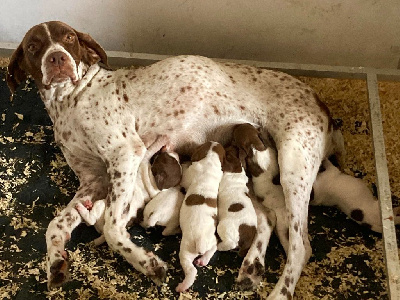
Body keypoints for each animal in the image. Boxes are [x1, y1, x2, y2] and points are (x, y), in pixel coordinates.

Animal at [6, 20, 344, 298]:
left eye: (69, 38)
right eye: (34, 46)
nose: (57, 58)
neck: (69, 102)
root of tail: (319, 101)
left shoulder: (125, 154)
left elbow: (114, 228)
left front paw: (146, 263)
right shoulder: (93, 181)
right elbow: (54, 226)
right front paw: (54, 263)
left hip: (293, 165)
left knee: (300, 248)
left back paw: (278, 291)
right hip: (260, 176)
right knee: (271, 221)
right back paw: (251, 267)